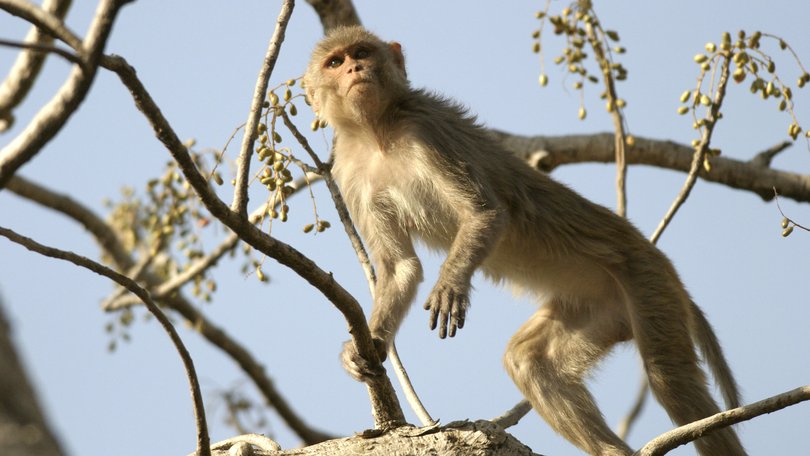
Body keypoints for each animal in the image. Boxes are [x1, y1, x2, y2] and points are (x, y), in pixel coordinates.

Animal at [304, 26, 744, 454]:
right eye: (335, 63)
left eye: (362, 52)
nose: (355, 69)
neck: (378, 132)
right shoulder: (350, 172)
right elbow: (401, 269)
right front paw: (371, 344)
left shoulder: (426, 130)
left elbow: (485, 213)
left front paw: (451, 284)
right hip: (601, 306)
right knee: (529, 361)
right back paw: (611, 450)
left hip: (647, 280)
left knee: (670, 380)